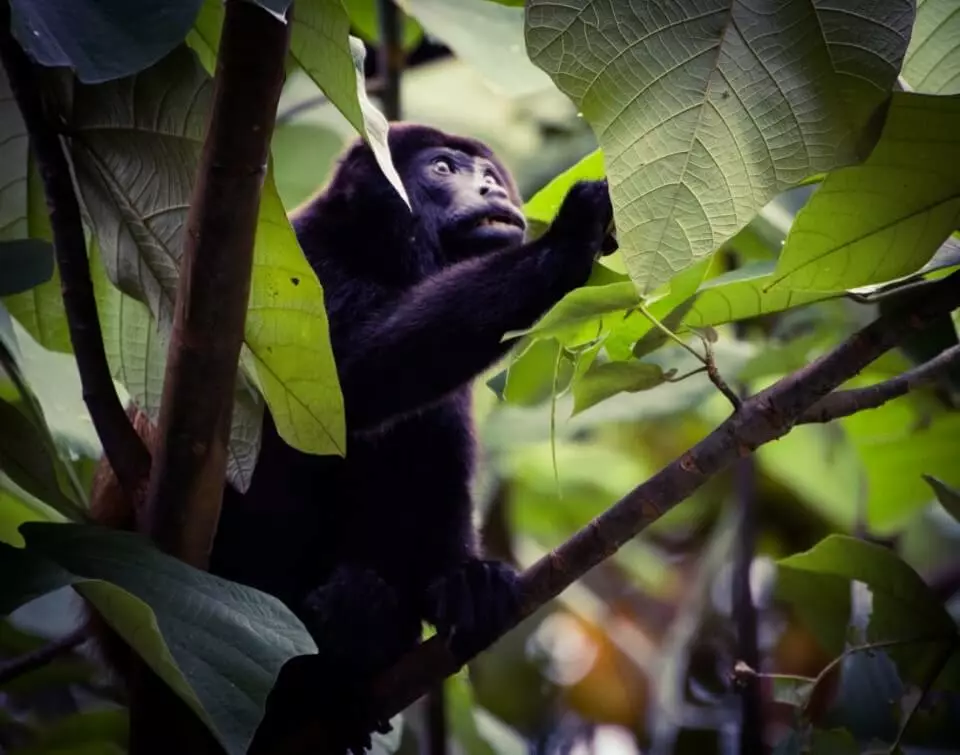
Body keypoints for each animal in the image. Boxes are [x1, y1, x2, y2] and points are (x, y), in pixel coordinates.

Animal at [89, 122, 616, 754]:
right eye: (444, 168)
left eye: (488, 173)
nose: (491, 187)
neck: (381, 253)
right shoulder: (298, 262)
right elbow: (338, 387)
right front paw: (571, 239)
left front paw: (464, 581)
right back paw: (324, 657)